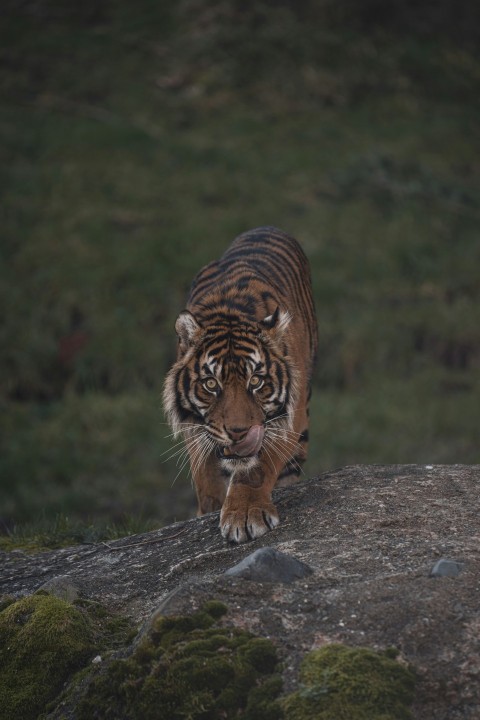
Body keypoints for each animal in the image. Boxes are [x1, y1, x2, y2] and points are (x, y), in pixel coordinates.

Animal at [163, 228, 316, 544]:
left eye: (255, 381)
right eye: (211, 384)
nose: (238, 432)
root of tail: (266, 227)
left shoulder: (287, 420)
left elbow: (255, 469)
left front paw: (245, 515)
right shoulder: (196, 428)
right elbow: (205, 476)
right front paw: (210, 509)